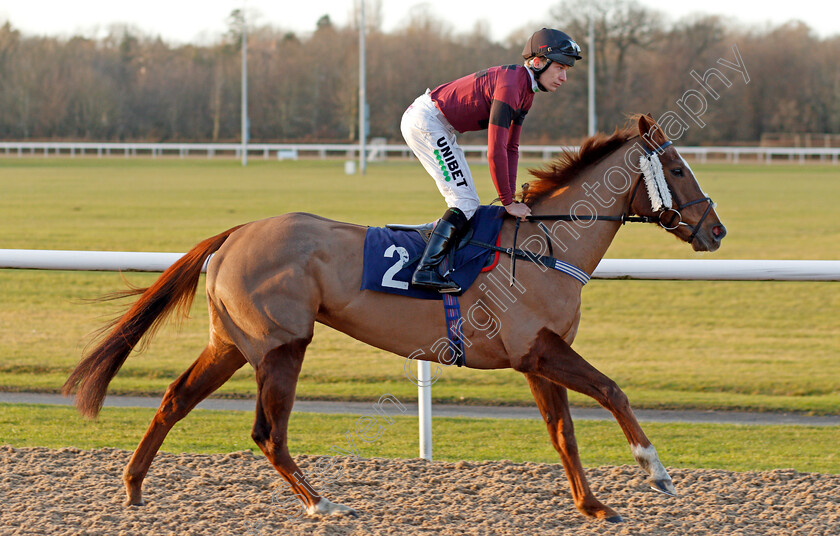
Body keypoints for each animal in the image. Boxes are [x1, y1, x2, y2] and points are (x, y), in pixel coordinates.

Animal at [62, 114, 724, 524]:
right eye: (680, 170)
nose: (716, 230)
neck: (544, 245)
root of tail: (235, 232)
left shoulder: (537, 358)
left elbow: (562, 432)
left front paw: (593, 506)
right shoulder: (538, 349)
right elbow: (612, 390)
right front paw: (656, 472)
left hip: (232, 342)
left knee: (176, 398)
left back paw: (134, 487)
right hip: (283, 345)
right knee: (268, 433)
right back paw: (322, 505)